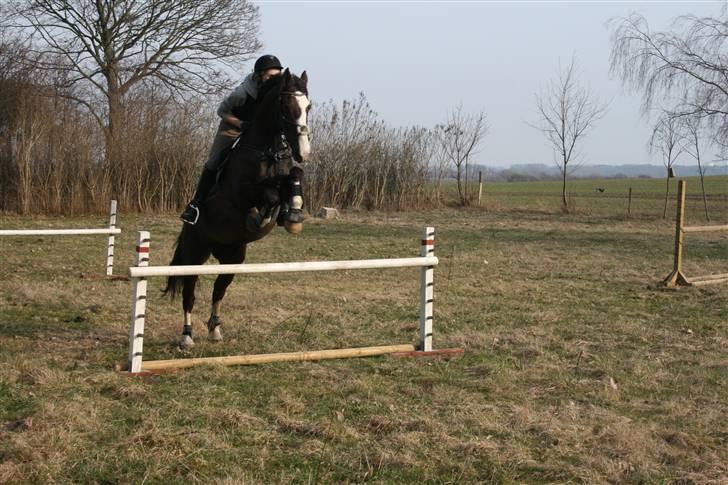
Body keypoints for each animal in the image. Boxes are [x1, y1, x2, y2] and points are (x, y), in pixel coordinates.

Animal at [164, 68, 312, 348]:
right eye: (287, 106)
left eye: (308, 106)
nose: (304, 153)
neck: (268, 150)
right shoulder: (240, 195)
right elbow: (268, 195)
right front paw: (262, 217)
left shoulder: (286, 174)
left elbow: (293, 177)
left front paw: (293, 214)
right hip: (195, 253)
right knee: (189, 292)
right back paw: (187, 336)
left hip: (233, 257)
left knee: (219, 289)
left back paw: (214, 329)